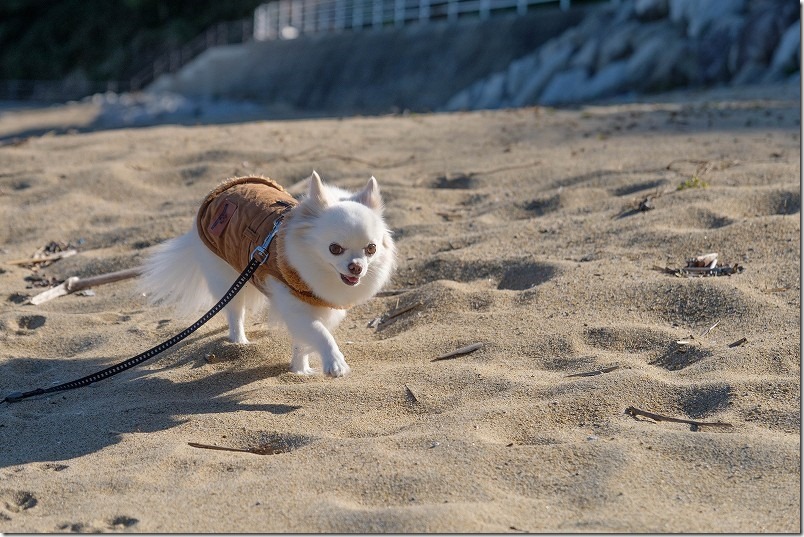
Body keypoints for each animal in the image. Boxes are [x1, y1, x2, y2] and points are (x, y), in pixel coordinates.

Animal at [142, 172, 398, 376]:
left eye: (371, 249)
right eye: (334, 249)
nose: (356, 267)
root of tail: (221, 190)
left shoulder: (315, 305)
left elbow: (303, 341)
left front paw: (300, 371)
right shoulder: (294, 303)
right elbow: (320, 333)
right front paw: (334, 363)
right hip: (225, 276)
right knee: (235, 313)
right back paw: (240, 342)